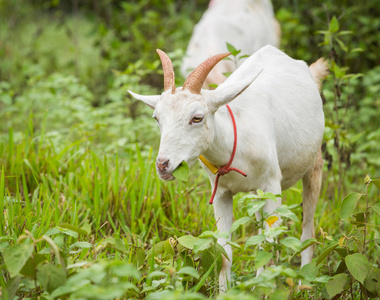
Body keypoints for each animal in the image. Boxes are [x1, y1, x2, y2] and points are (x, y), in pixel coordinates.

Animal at [129, 45, 328, 292]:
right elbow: (225, 253)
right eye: (157, 118)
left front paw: (263, 291)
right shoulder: (221, 193)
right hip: (256, 194)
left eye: (197, 117)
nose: (163, 164)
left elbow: (267, 249)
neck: (236, 140)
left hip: (314, 164)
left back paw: (304, 284)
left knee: (307, 233)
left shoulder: (272, 185)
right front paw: (225, 293)